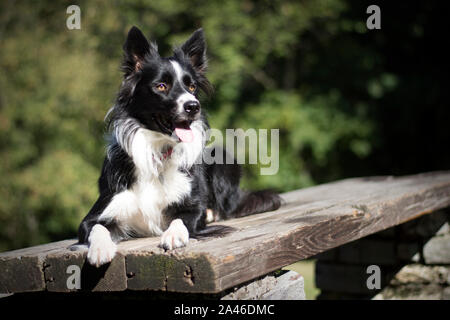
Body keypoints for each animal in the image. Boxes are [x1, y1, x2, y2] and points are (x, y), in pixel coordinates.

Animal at [77, 26, 282, 268]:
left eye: (191, 86)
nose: (194, 106)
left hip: (223, 158)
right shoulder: (96, 214)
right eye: (161, 86)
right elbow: (96, 227)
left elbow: (181, 219)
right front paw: (100, 248)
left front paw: (174, 234)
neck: (157, 149)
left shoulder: (192, 208)